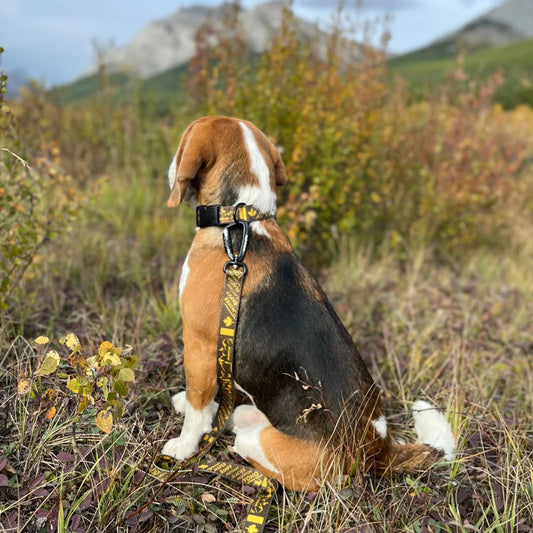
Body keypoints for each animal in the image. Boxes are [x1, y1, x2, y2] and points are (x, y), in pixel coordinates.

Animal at [162, 115, 454, 490]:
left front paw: (184, 445)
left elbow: (199, 404)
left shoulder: (199, 344)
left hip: (263, 447)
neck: (241, 220)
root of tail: (377, 447)